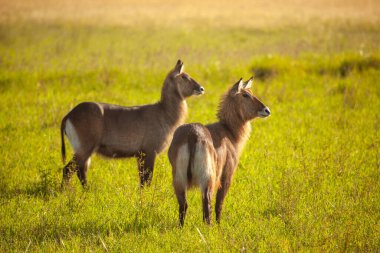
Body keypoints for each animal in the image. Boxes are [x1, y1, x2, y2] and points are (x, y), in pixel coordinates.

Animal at [61, 58, 205, 186]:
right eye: (184, 77)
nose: (201, 88)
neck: (164, 112)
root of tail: (69, 114)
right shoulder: (149, 151)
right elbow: (147, 180)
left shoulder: (140, 155)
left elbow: (142, 180)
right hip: (84, 148)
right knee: (68, 169)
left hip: (85, 150)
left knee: (79, 171)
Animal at [168, 76, 270, 225]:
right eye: (245, 95)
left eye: (251, 92)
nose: (267, 110)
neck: (228, 131)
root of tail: (193, 134)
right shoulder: (227, 174)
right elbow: (219, 203)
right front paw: (219, 225)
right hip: (208, 178)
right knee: (207, 205)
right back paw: (210, 227)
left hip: (178, 179)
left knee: (184, 205)